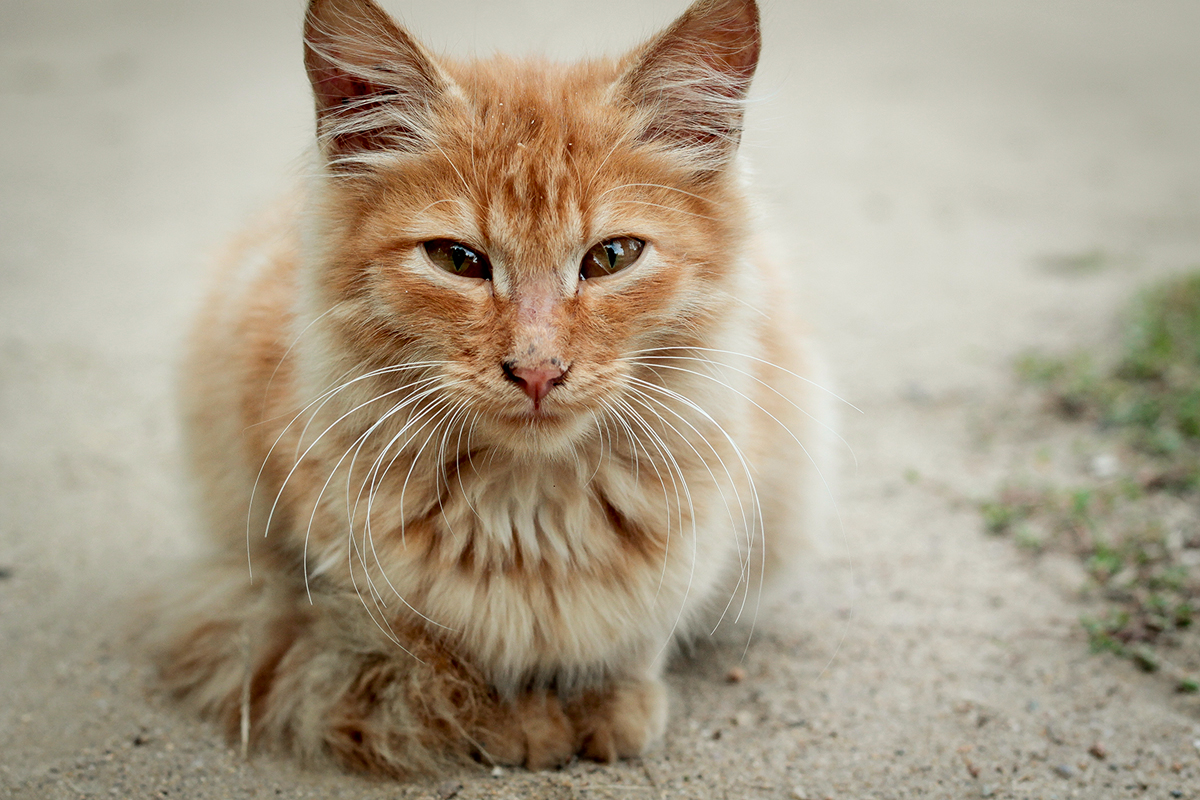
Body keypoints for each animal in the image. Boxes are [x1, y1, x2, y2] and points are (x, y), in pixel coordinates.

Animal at [150, 0, 825, 777]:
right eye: (457, 260)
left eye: (612, 257)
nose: (537, 369)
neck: (533, 509)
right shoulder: (346, 562)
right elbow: (446, 655)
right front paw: (515, 720)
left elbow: (639, 636)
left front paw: (612, 700)